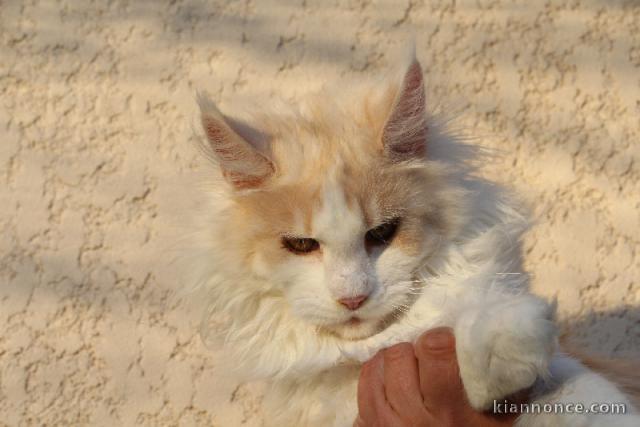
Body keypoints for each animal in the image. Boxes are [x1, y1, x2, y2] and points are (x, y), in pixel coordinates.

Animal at [186, 51, 640, 426]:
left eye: (382, 233)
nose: (353, 298)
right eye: (301, 245)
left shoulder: (567, 369)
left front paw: (500, 355)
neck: (373, 351)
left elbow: (566, 387)